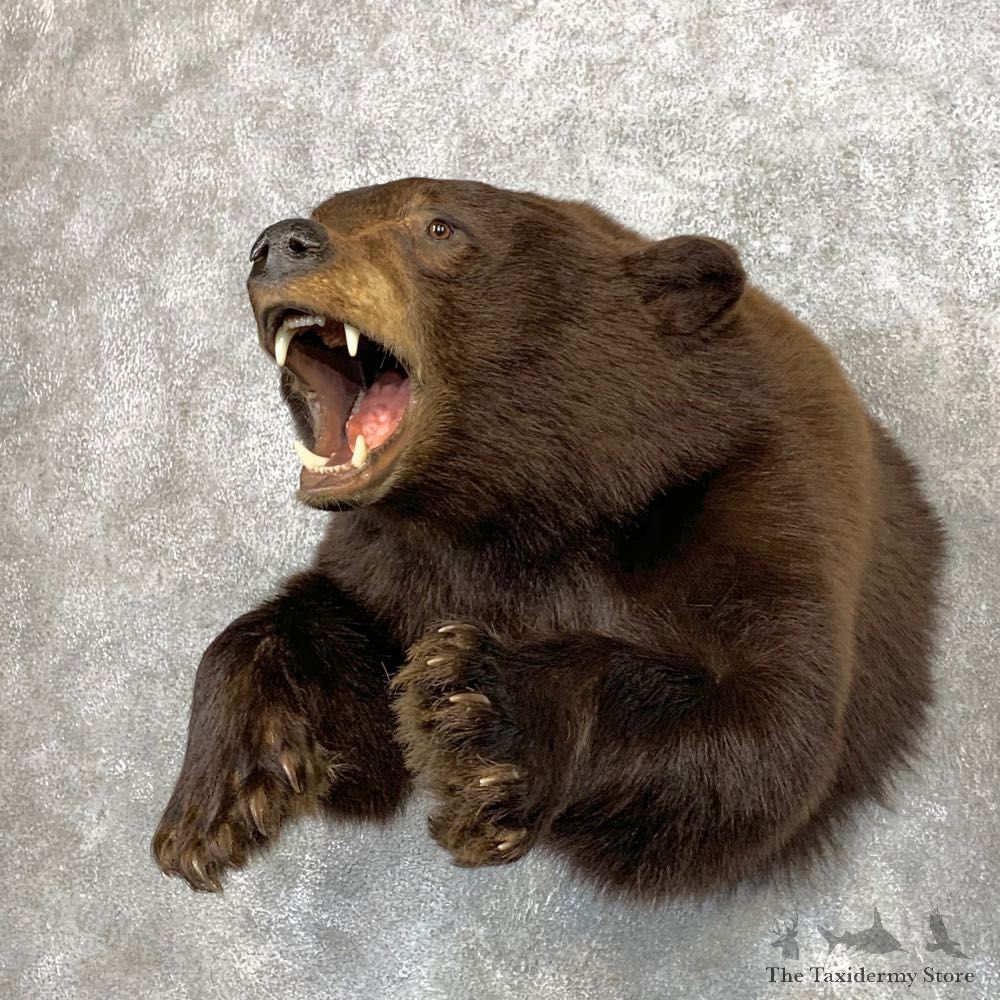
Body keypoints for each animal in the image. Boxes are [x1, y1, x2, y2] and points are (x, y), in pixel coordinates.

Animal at [152, 178, 943, 899]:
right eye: (330, 208)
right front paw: (223, 796)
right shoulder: (397, 557)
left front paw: (480, 705)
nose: (277, 243)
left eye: (439, 225)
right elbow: (337, 673)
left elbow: (771, 738)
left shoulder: (761, 503)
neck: (535, 502)